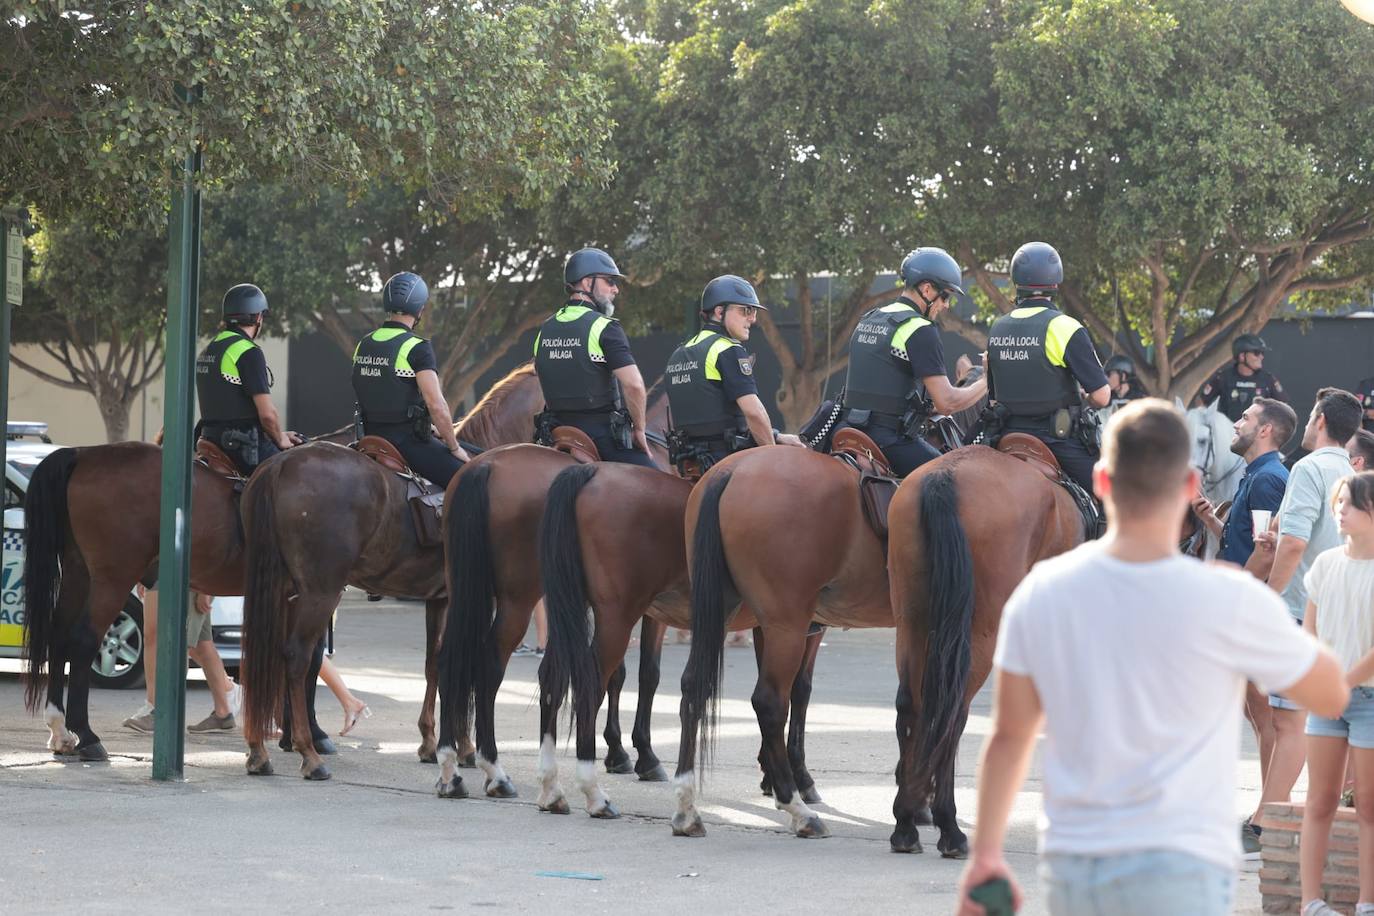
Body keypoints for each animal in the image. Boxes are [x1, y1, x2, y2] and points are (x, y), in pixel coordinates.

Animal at [239, 362, 549, 780]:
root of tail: (280, 464)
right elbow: (458, 659)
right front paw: (465, 747)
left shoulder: (441, 598)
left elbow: (434, 663)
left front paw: (432, 742)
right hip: (321, 590)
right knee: (297, 657)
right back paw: (309, 753)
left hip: (277, 586)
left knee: (263, 654)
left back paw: (259, 751)